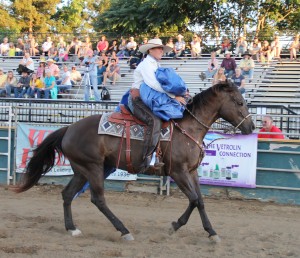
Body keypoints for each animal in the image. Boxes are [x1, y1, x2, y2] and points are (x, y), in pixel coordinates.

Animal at [14, 81, 253, 243]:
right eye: (239, 102)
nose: (250, 127)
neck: (188, 130)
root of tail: (69, 129)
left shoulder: (192, 172)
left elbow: (200, 201)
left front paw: (212, 233)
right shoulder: (177, 172)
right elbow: (193, 199)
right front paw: (174, 226)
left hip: (82, 170)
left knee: (67, 194)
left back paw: (72, 228)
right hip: (93, 168)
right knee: (98, 199)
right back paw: (124, 231)